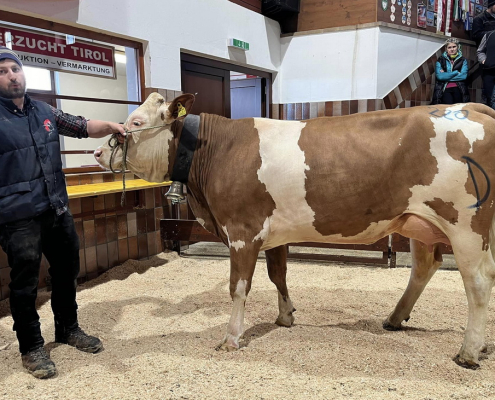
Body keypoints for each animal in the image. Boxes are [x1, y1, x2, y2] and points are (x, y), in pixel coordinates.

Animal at [94, 93, 495, 368]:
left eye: (134, 122)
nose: (98, 152)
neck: (216, 150)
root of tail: (472, 106)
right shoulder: (271, 231)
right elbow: (278, 274)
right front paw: (285, 316)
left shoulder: (241, 230)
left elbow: (238, 286)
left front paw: (231, 337)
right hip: (420, 222)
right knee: (425, 267)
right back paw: (397, 319)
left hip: (466, 225)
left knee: (478, 281)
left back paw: (468, 352)